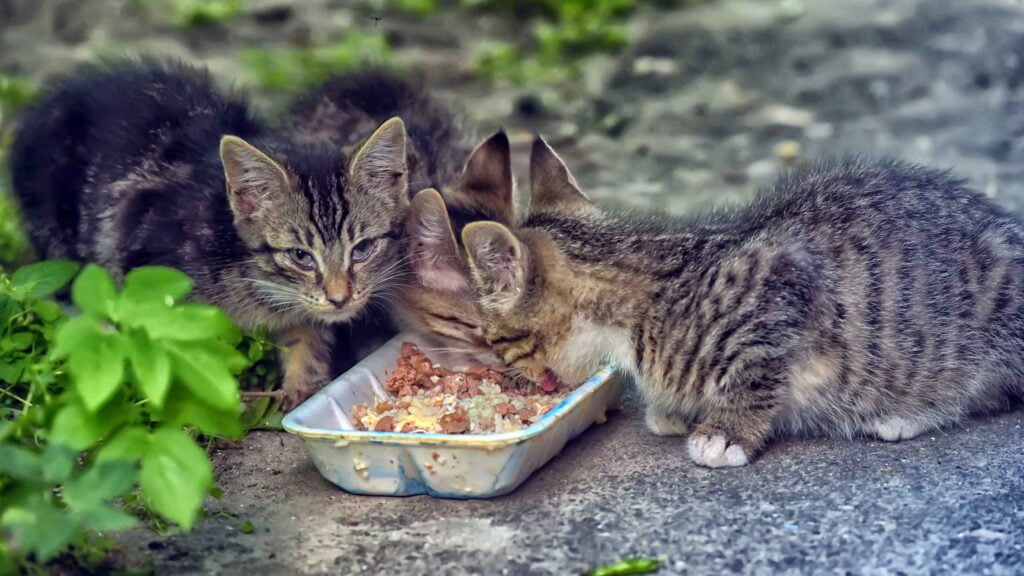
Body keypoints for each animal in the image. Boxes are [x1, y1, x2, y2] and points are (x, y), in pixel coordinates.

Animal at [9, 60, 407, 405]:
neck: (254, 282)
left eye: (363, 248)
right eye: (300, 256)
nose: (340, 299)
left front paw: (303, 387)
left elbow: (307, 337)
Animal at [460, 138, 1024, 467]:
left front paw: (725, 432)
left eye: (496, 339)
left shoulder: (780, 285)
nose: (511, 377)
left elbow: (754, 375)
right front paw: (674, 409)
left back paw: (907, 414)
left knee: (989, 391)